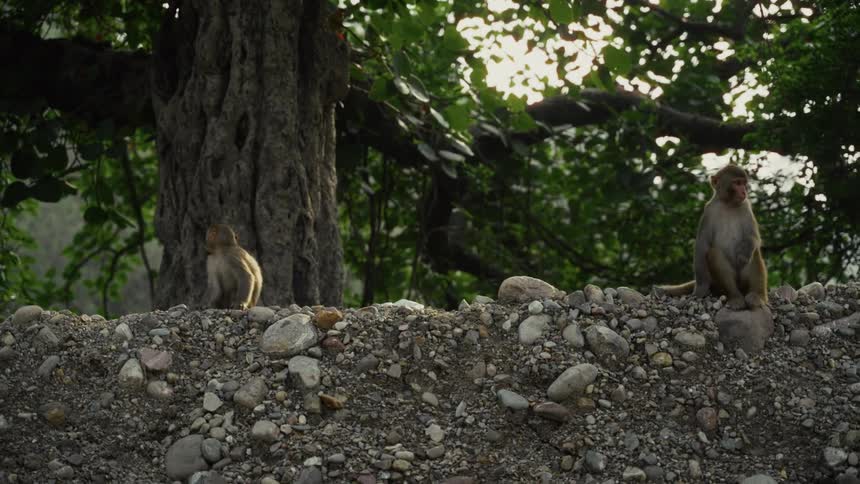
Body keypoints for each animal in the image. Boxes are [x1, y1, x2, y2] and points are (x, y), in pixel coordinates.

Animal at [654, 164, 768, 310]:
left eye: (743, 183)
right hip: (717, 283)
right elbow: (702, 246)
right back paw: (735, 297)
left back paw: (757, 296)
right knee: (714, 254)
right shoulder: (708, 211)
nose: (744, 192)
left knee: (754, 253)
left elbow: (753, 237)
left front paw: (743, 254)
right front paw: (700, 289)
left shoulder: (746, 207)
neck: (728, 204)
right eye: (737, 183)